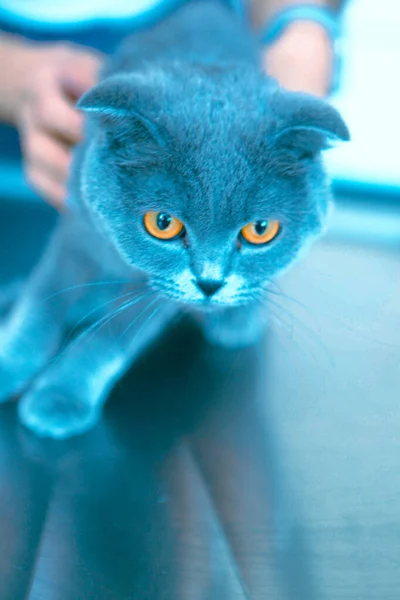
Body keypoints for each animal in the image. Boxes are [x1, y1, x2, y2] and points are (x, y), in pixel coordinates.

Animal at [0, 1, 350, 440]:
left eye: (260, 231)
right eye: (162, 223)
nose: (210, 284)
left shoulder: (161, 290)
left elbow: (114, 334)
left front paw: (61, 395)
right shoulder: (77, 224)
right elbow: (42, 298)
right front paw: (11, 361)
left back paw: (235, 319)